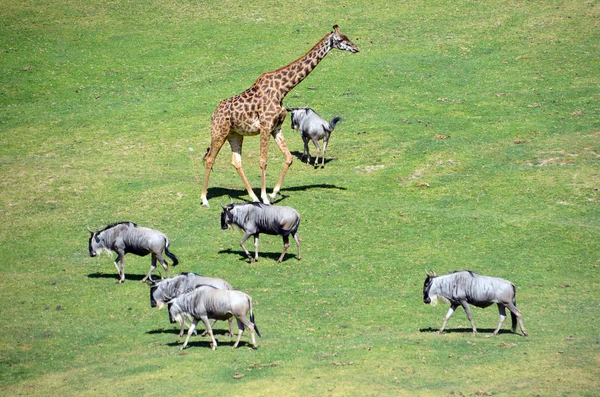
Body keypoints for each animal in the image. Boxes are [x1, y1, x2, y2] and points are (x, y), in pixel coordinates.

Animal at [202, 24, 360, 207]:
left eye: (348, 37)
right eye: (341, 39)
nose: (356, 48)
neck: (282, 90)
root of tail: (214, 114)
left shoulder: (276, 127)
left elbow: (289, 158)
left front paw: (273, 194)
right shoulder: (265, 126)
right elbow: (263, 161)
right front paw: (265, 198)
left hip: (235, 134)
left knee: (236, 161)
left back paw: (253, 197)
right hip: (219, 132)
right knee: (210, 159)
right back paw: (204, 199)